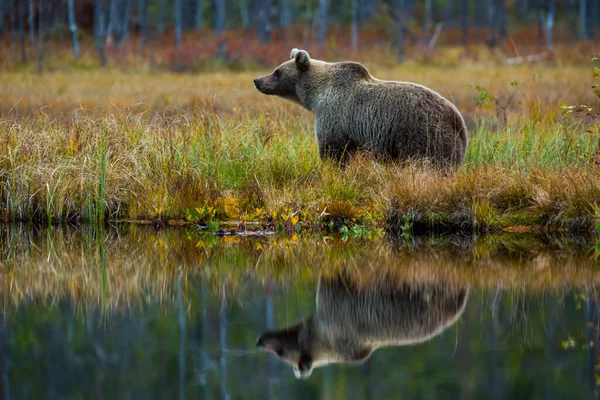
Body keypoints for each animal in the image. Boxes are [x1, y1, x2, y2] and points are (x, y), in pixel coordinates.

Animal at [253, 48, 468, 167]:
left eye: (277, 71)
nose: (257, 80)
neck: (316, 96)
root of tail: (459, 121)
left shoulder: (333, 116)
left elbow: (332, 150)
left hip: (423, 135)